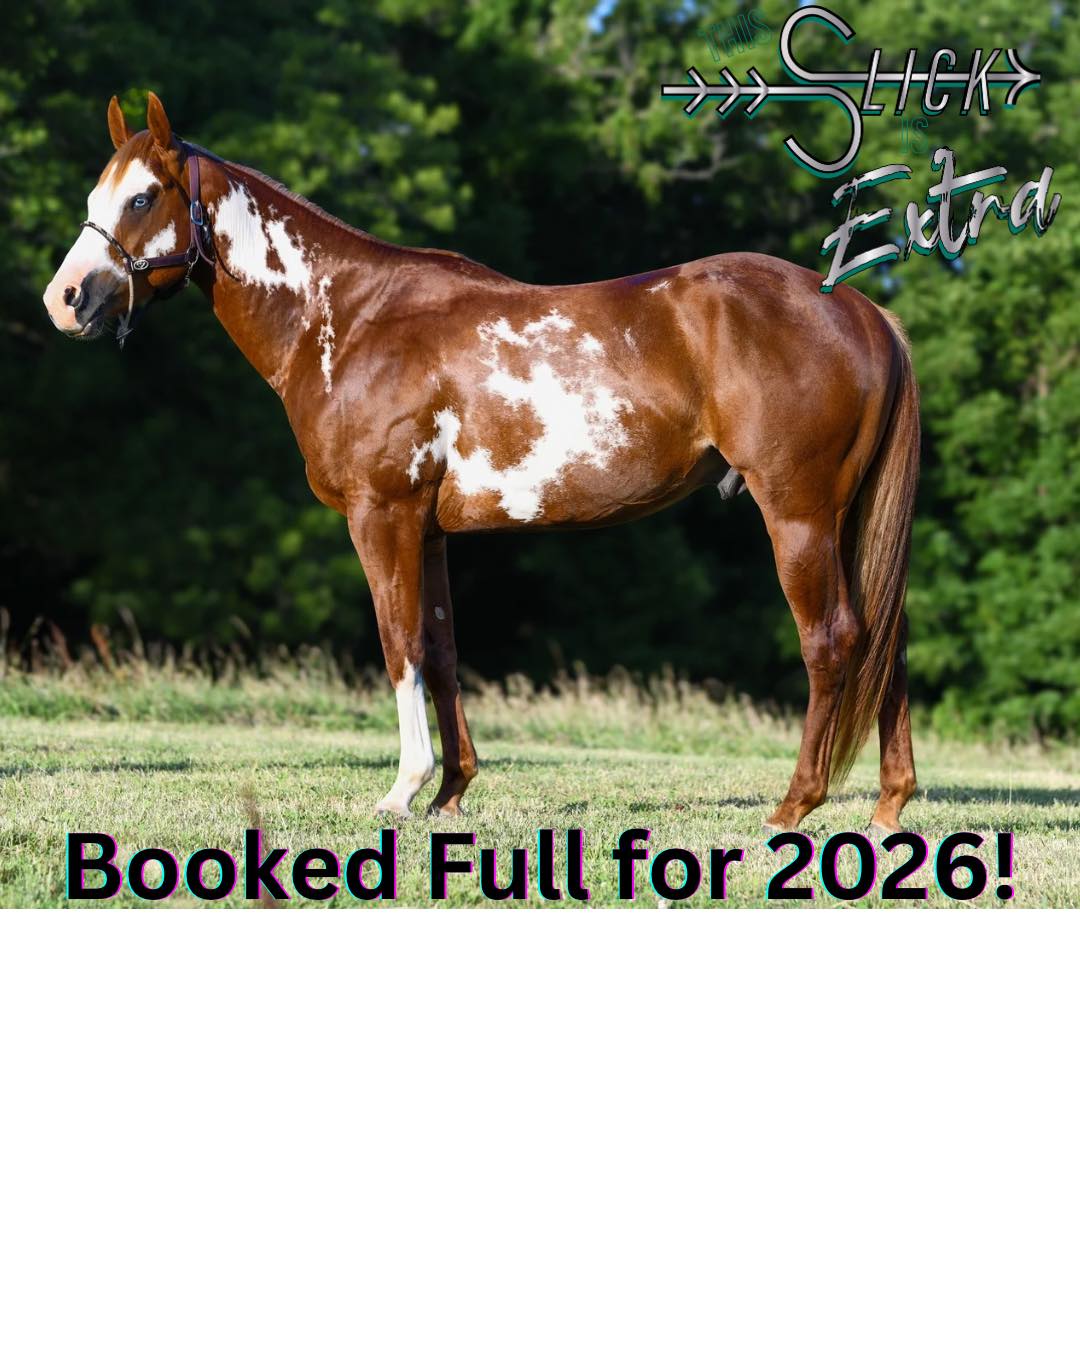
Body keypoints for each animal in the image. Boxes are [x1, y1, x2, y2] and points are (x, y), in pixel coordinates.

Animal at [43, 93, 920, 832]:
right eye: (97, 194)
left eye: (141, 198)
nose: (65, 299)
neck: (349, 318)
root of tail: (859, 305)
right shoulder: (428, 531)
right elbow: (440, 651)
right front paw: (452, 791)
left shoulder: (382, 516)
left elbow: (398, 645)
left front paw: (402, 790)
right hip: (845, 522)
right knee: (885, 641)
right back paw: (888, 804)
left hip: (799, 514)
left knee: (833, 640)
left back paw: (795, 805)